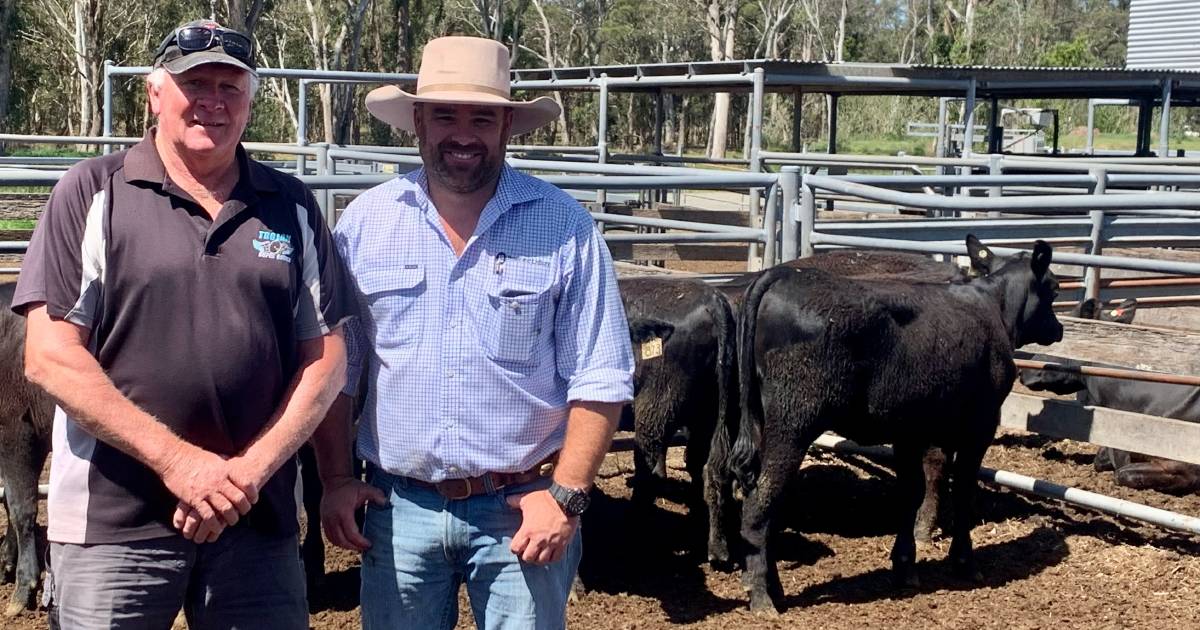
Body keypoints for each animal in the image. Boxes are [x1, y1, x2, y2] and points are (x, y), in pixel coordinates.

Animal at [729, 235, 1060, 609]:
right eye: (1054, 288)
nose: (1058, 328)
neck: (993, 306)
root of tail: (780, 277)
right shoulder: (980, 425)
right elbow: (962, 490)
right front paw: (964, 561)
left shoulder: (910, 430)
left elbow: (911, 492)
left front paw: (905, 566)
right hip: (792, 424)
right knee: (759, 504)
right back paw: (762, 597)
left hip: (762, 421)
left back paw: (773, 588)